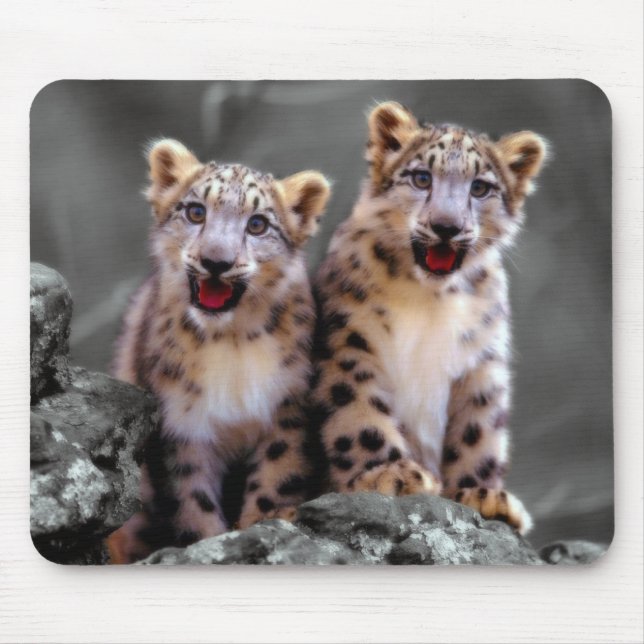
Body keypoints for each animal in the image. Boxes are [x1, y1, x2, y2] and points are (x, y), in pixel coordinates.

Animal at [105, 138, 330, 563]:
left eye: (258, 224)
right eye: (196, 211)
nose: (215, 261)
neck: (231, 342)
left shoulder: (287, 408)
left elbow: (276, 478)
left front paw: (262, 526)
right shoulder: (180, 425)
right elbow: (192, 501)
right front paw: (209, 543)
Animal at [311, 101, 547, 534]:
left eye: (480, 187)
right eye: (422, 177)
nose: (446, 226)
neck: (429, 299)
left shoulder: (482, 360)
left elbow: (478, 429)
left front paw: (481, 494)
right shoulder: (348, 340)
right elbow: (358, 409)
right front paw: (389, 473)